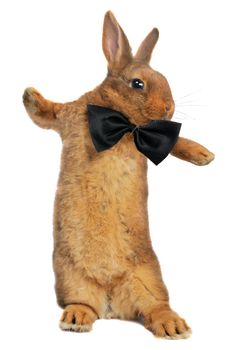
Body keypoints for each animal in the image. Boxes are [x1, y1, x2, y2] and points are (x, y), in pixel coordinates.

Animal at [23, 10, 215, 340]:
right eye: (138, 83)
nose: (169, 108)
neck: (122, 124)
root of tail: (111, 301)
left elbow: (175, 141)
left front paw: (204, 155)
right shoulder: (69, 116)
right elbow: (49, 111)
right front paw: (30, 94)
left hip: (149, 280)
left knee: (156, 308)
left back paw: (174, 326)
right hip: (71, 278)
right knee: (83, 303)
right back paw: (75, 318)